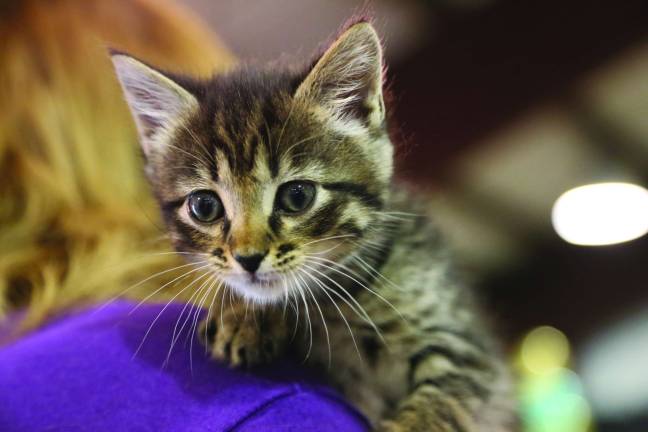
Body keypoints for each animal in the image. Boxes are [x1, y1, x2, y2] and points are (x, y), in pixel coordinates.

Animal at [111, 18, 516, 430]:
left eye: (297, 196)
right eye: (204, 206)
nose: (248, 258)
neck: (336, 300)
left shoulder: (468, 352)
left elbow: (439, 408)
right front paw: (246, 314)